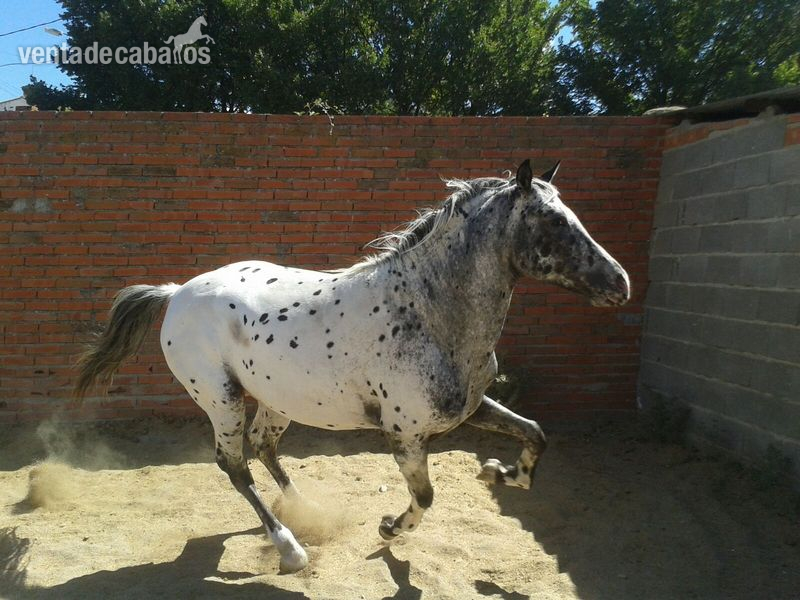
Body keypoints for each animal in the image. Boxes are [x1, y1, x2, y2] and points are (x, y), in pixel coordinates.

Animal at [74, 160, 630, 573]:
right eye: (554, 221)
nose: (620, 283)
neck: (427, 309)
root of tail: (175, 294)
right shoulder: (405, 435)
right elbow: (425, 498)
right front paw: (390, 529)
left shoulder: (471, 409)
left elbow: (535, 433)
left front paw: (497, 473)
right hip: (221, 399)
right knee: (233, 464)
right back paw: (291, 548)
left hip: (277, 400)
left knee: (263, 447)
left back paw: (308, 512)